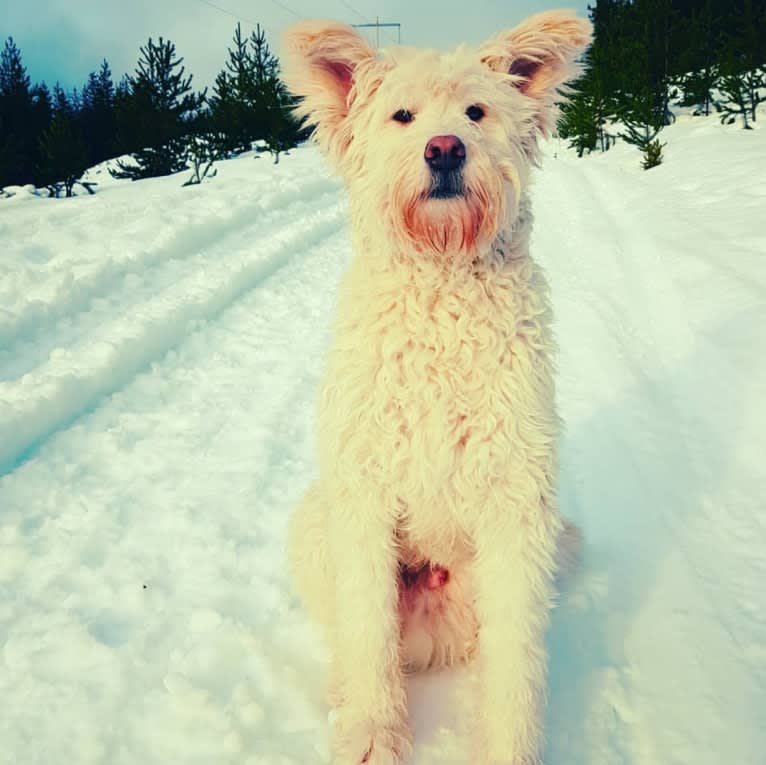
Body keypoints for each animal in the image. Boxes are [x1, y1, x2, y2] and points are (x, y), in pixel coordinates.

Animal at [284, 11, 592, 764]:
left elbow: (516, 659)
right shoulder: (363, 493)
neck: (442, 286)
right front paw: (373, 735)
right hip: (315, 516)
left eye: (476, 112)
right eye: (402, 115)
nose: (445, 149)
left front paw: (509, 745)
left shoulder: (516, 501)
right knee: (356, 636)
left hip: (550, 542)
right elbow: (369, 630)